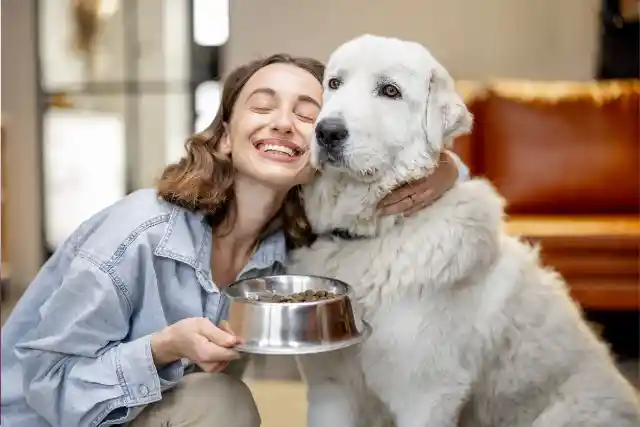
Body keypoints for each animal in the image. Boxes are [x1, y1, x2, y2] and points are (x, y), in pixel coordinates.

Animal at [292, 34, 640, 427]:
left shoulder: (426, 395)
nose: (327, 132)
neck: (379, 232)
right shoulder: (332, 387)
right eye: (335, 83)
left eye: (390, 91)